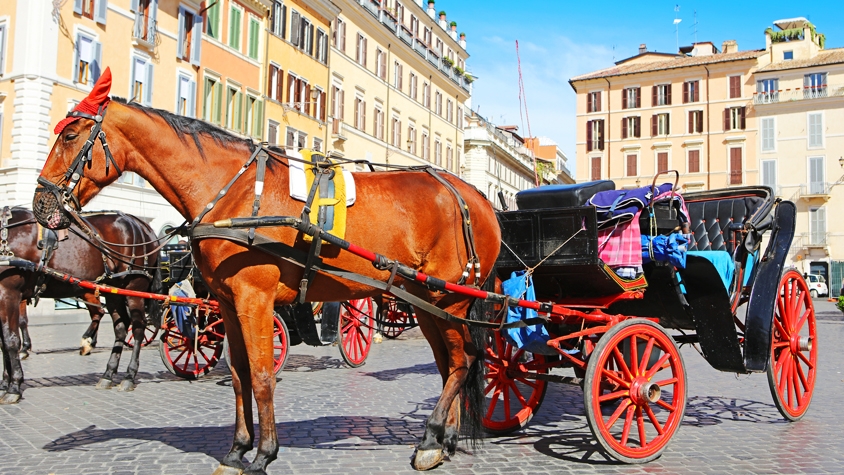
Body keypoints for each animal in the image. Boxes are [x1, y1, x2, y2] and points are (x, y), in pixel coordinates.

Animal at [0, 206, 160, 403]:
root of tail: (143, 225)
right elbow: (4, 343)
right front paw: (5, 384)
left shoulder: (9, 293)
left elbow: (10, 340)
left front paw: (14, 386)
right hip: (112, 290)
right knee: (121, 327)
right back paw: (108, 374)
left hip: (134, 288)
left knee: (138, 328)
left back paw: (129, 375)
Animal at [33, 69, 500, 474]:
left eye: (70, 136)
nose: (41, 202)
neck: (233, 191)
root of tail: (473, 194)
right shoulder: (226, 303)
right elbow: (239, 376)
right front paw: (237, 450)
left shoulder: (254, 299)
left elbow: (261, 376)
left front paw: (263, 454)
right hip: (425, 300)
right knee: (449, 363)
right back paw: (444, 440)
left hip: (451, 297)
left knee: (464, 359)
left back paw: (432, 437)